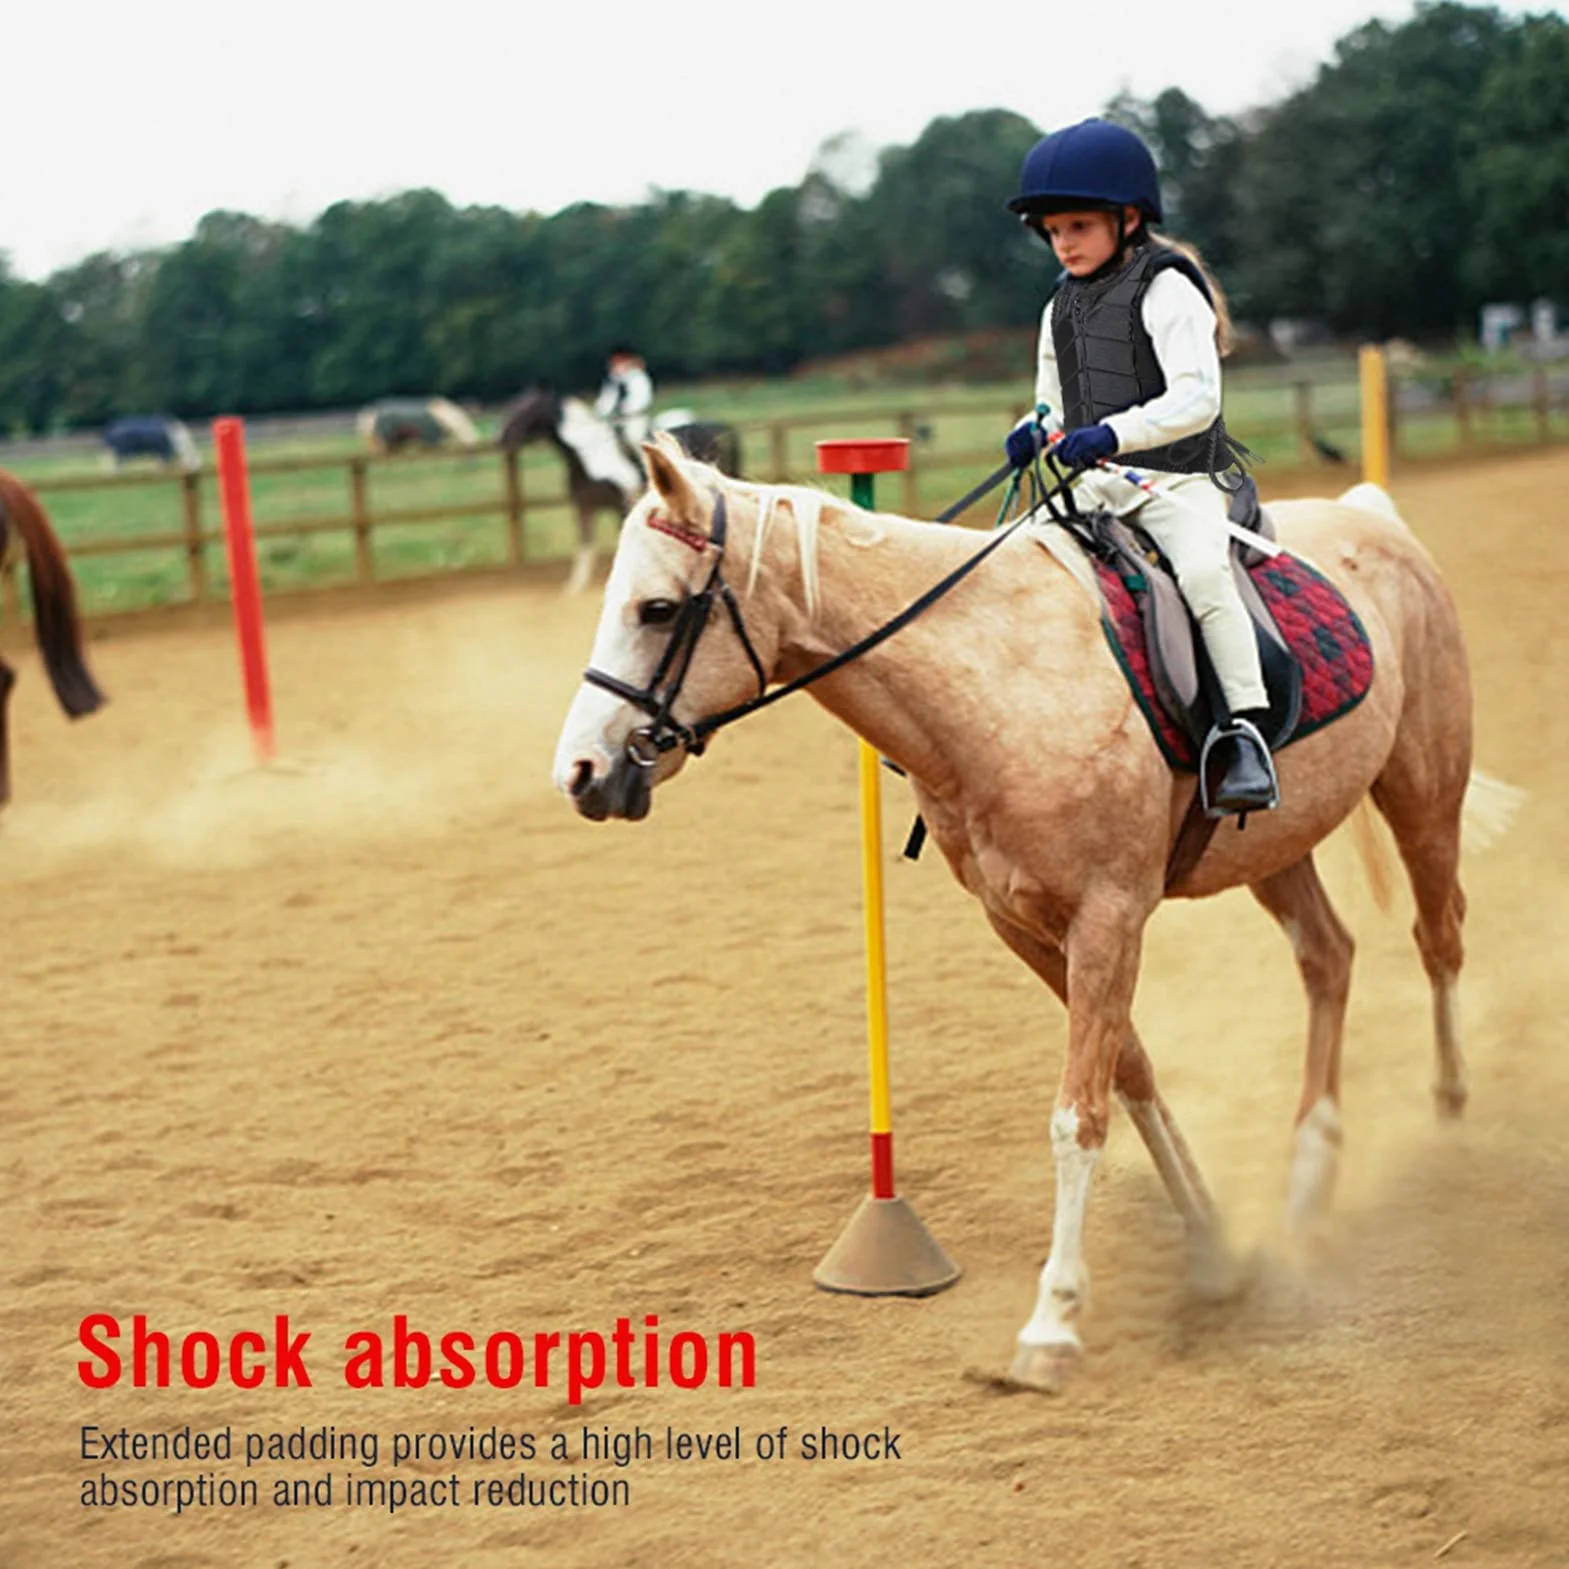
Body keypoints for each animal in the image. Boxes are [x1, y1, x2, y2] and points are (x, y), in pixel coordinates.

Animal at [497, 388, 742, 595]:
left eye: (524, 409)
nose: (502, 439)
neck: (588, 457)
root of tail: (723, 427)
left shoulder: (620, 506)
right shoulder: (585, 508)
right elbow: (585, 543)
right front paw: (575, 585)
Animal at [552, 436, 1506, 1393]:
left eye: (657, 607)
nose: (581, 772)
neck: (997, 685)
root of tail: (1370, 517)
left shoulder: (1108, 918)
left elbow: (1076, 1113)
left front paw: (1052, 1322)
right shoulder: (1023, 926)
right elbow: (1129, 1075)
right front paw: (1209, 1246)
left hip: (1421, 791)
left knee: (1439, 937)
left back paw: (1451, 1121)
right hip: (1274, 849)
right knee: (1329, 956)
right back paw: (1309, 1175)